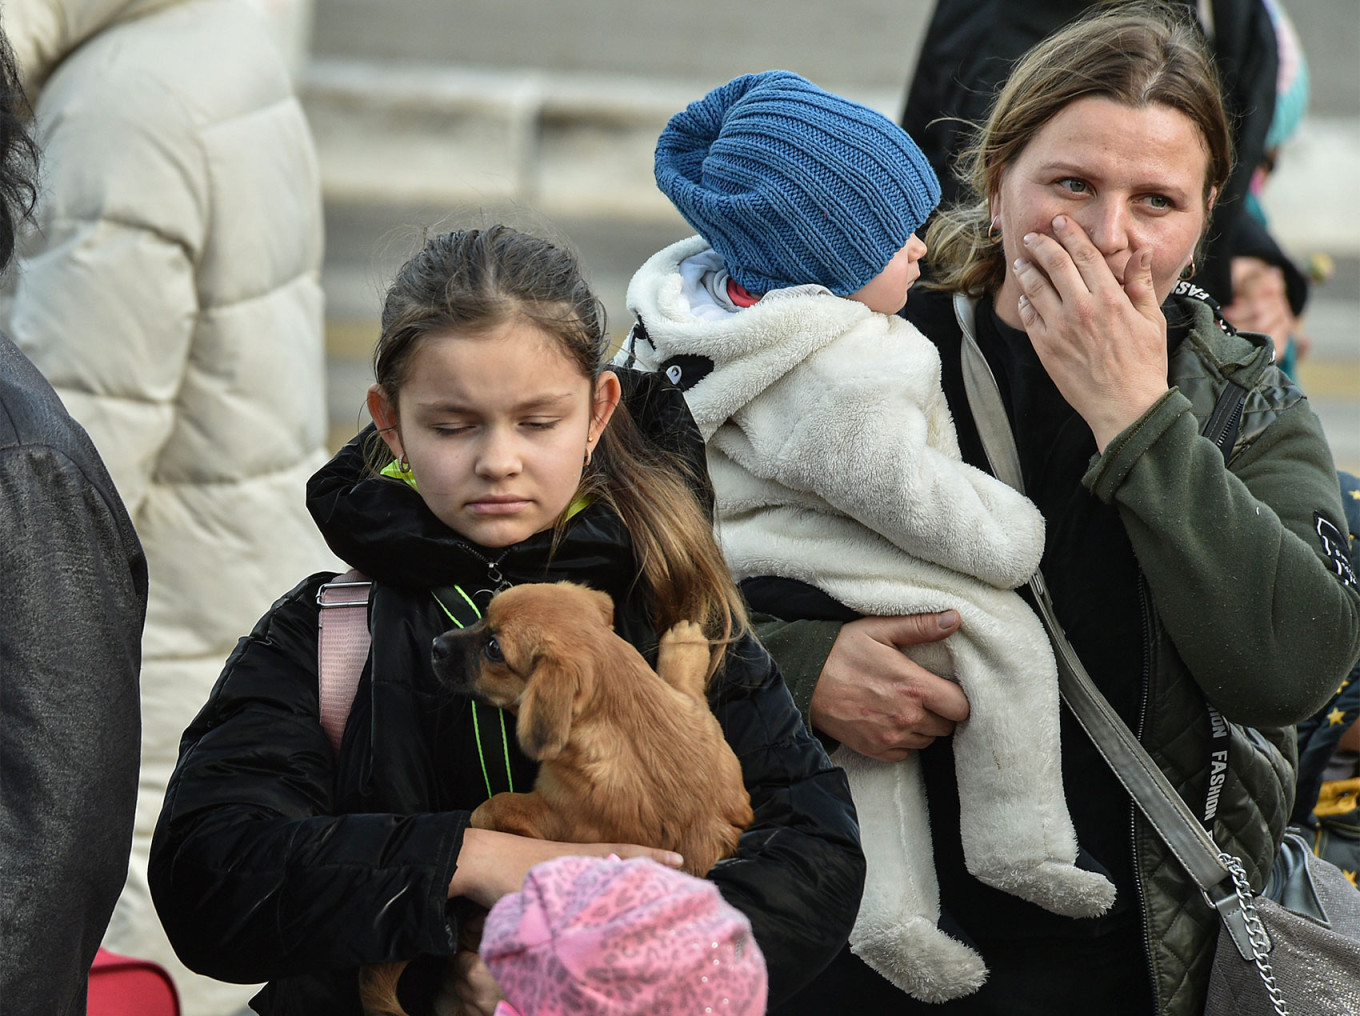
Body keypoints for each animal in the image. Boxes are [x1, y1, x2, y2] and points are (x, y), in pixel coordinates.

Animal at [361, 584, 750, 1016]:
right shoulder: (699, 719)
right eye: (484, 615)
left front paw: (478, 820)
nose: (435, 645)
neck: (624, 714)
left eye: (494, 649)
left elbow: (497, 803)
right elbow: (685, 684)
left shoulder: (558, 814)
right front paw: (687, 643)